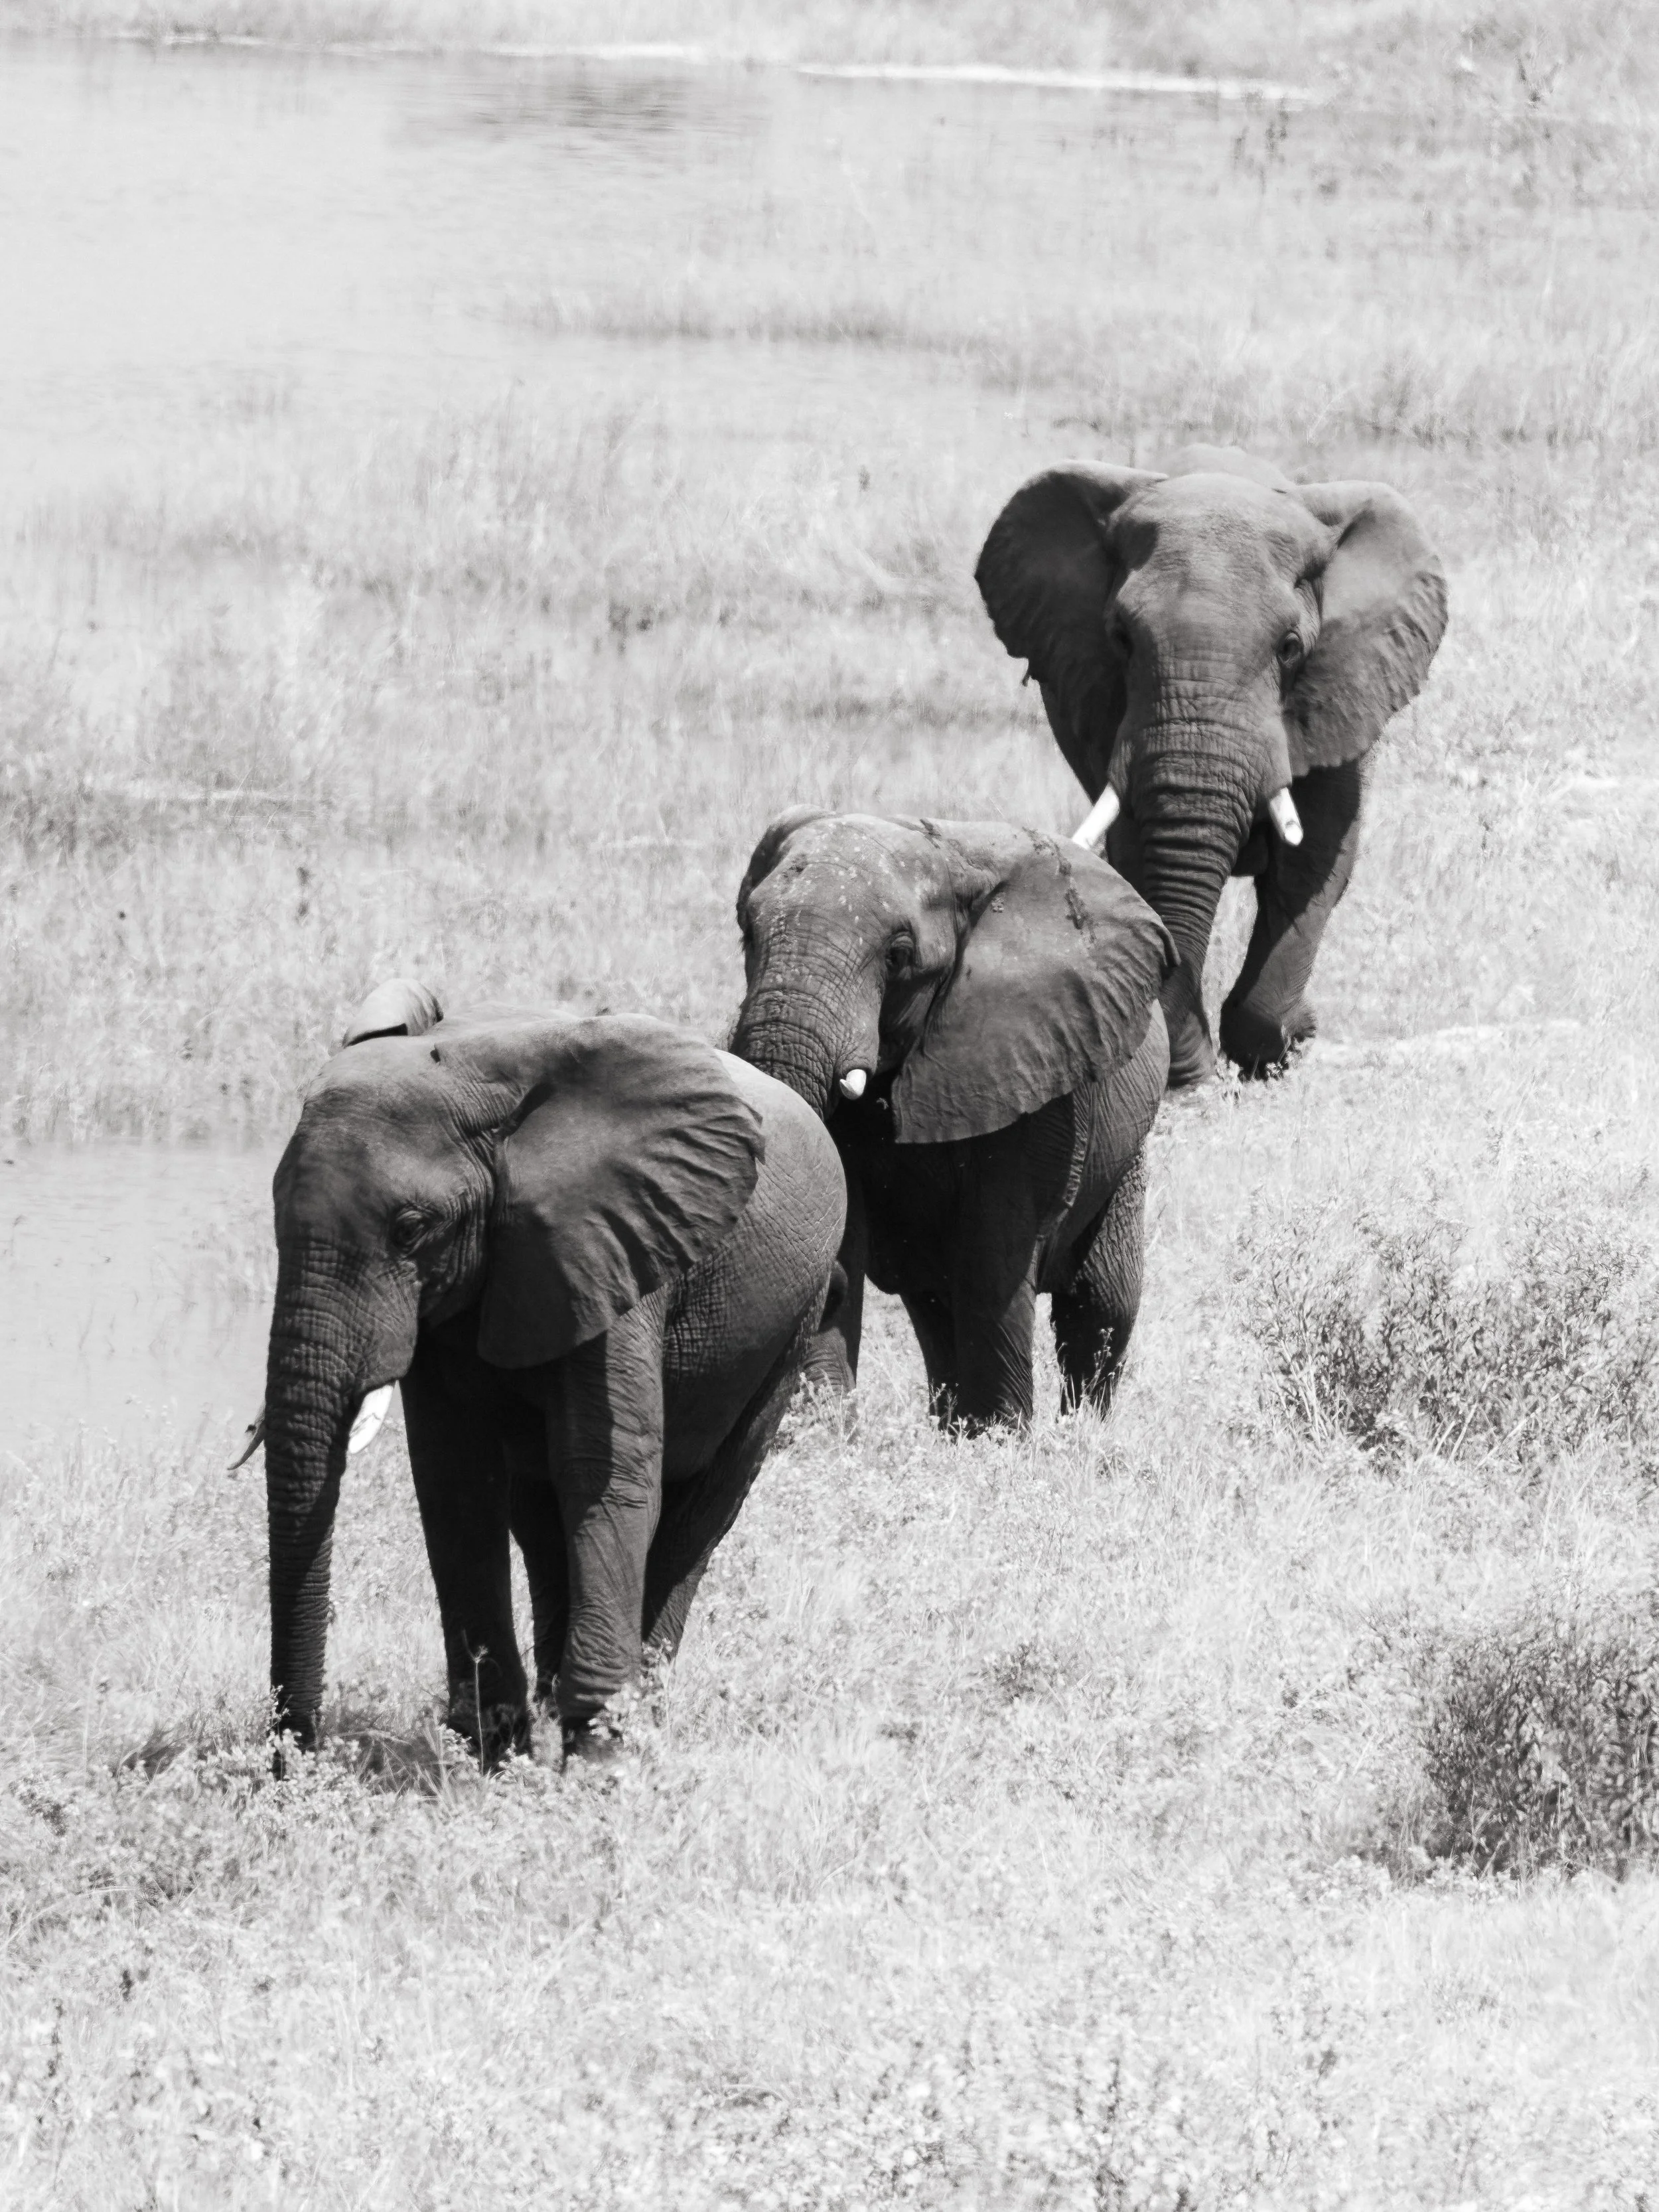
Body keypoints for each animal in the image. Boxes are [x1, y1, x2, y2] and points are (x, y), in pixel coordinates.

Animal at [258, 980, 846, 1762]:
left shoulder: (618, 1239)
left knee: (702, 1511)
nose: (290, 1757)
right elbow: (455, 1477)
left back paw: (640, 1714)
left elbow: (601, 1467)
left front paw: (597, 1756)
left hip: (792, 1321)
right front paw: (491, 1749)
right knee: (538, 1519)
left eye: (410, 1230)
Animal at [729, 811, 1176, 1430]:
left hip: (1127, 1145)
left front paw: (1000, 1441)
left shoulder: (1034, 1062)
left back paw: (1080, 1431)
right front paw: (819, 1432)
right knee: (937, 1305)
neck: (952, 860)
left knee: (1099, 1300)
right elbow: (846, 1222)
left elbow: (996, 1252)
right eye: (746, 931)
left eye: (898, 955)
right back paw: (953, 1428)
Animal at [975, 444, 1447, 1087]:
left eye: (1290, 648)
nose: (1186, 1072)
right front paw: (1193, 1078)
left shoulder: (1339, 693)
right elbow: (1140, 854)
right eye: (1121, 638)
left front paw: (1282, 1046)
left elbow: (1311, 863)